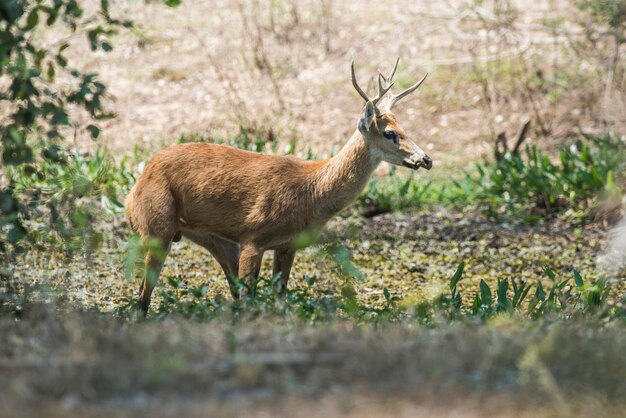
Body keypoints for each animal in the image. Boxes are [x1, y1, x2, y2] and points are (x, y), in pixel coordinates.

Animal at [125, 59, 428, 314]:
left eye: (405, 128)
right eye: (390, 133)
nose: (426, 159)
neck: (312, 193)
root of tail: (134, 188)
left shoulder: (287, 245)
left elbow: (280, 299)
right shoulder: (252, 236)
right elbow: (251, 297)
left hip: (213, 239)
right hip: (156, 225)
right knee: (143, 294)